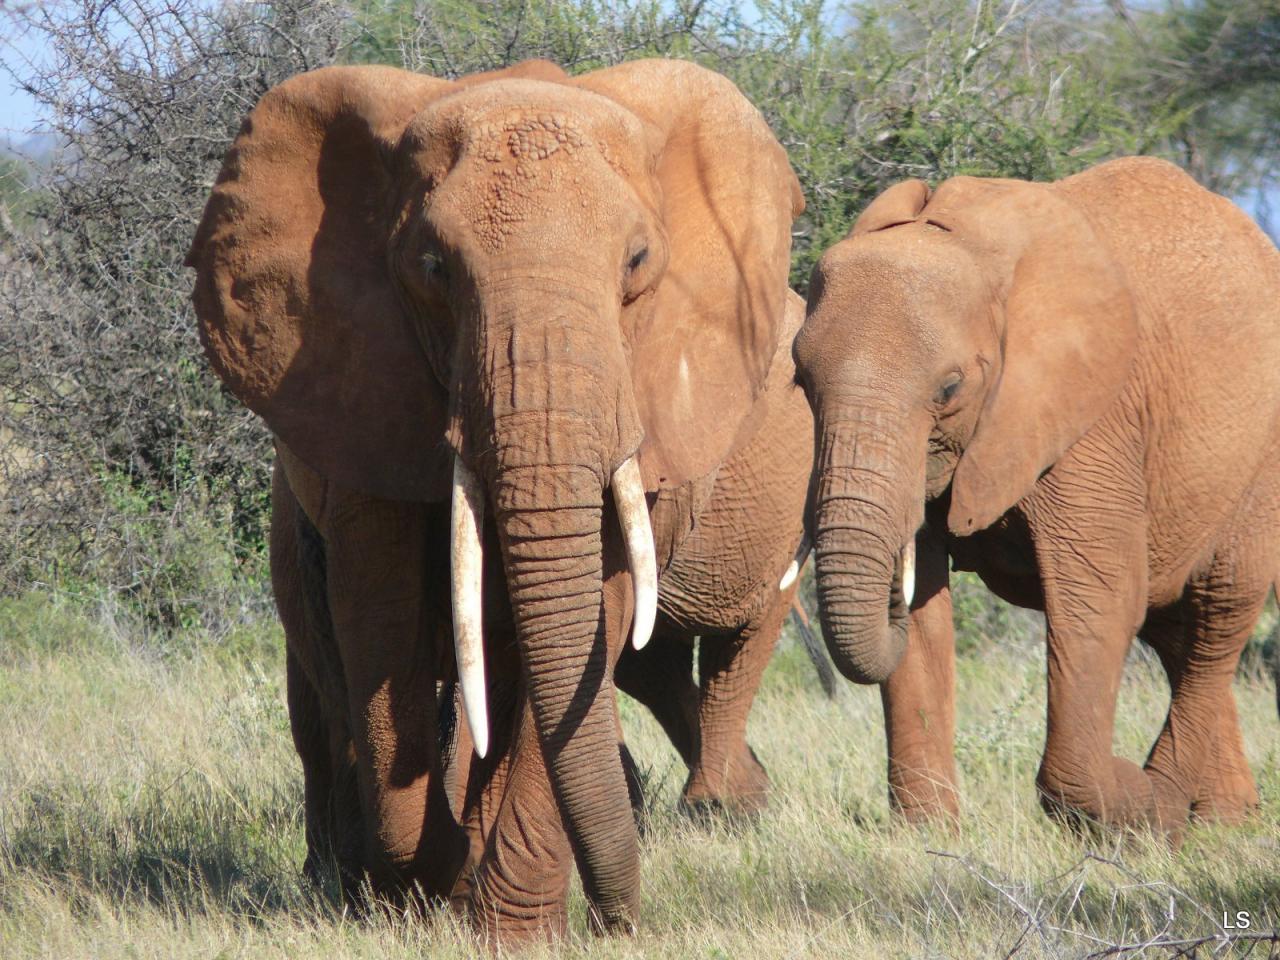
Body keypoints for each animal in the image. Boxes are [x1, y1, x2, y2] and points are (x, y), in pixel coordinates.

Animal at [185, 56, 803, 942]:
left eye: (637, 263)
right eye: (434, 269)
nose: (621, 920)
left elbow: (597, 620)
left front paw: (511, 930)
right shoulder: (368, 397)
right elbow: (384, 625)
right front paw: (422, 889)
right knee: (323, 687)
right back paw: (344, 885)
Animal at [788, 158, 1280, 839]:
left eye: (950, 388)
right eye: (801, 381)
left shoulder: (1089, 416)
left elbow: (1099, 594)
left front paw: (1129, 799)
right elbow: (927, 613)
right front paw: (927, 836)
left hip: (1259, 460)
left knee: (1220, 609)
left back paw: (1173, 803)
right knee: (1176, 626)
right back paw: (1219, 820)